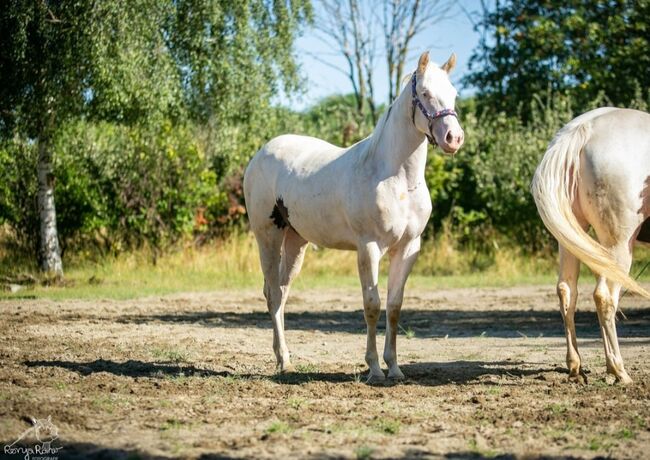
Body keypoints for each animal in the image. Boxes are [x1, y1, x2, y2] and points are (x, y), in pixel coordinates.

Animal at [243, 50, 460, 382]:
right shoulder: (368, 248)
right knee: (272, 295)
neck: (396, 178)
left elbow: (394, 307)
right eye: (425, 93)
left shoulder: (408, 248)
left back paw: (285, 358)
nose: (453, 138)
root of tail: (260, 155)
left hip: (295, 242)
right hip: (268, 237)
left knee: (281, 290)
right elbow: (372, 305)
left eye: (454, 93)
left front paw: (394, 367)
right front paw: (374, 368)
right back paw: (283, 360)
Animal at [528, 108, 648, 384]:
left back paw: (576, 367)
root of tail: (583, 131)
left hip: (573, 238)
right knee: (604, 297)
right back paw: (618, 370)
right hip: (618, 243)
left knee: (567, 290)